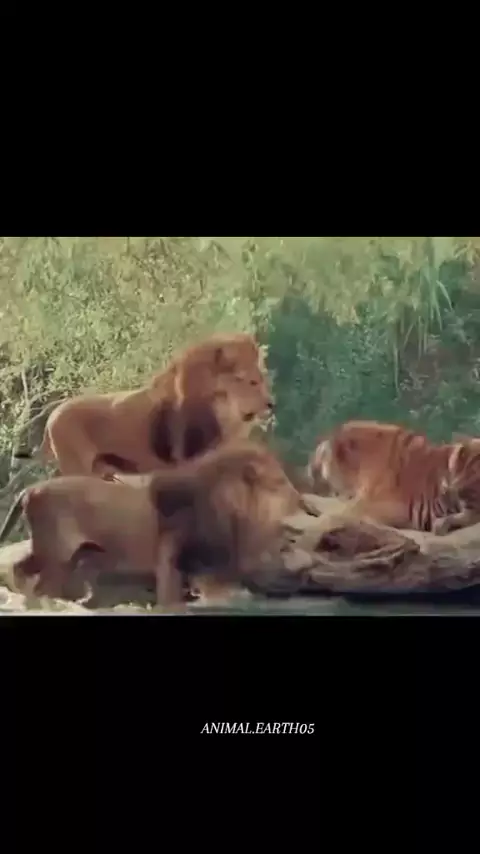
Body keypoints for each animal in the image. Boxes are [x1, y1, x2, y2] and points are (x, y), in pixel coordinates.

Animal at [0, 439, 304, 607]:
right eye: (279, 483)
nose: (298, 498)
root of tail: (30, 490)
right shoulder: (173, 554)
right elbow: (171, 591)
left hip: (55, 552)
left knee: (20, 570)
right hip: (56, 553)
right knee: (41, 584)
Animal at [10, 333, 273, 480]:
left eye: (263, 378)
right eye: (252, 381)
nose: (272, 404)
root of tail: (51, 417)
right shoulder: (187, 464)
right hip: (78, 469)